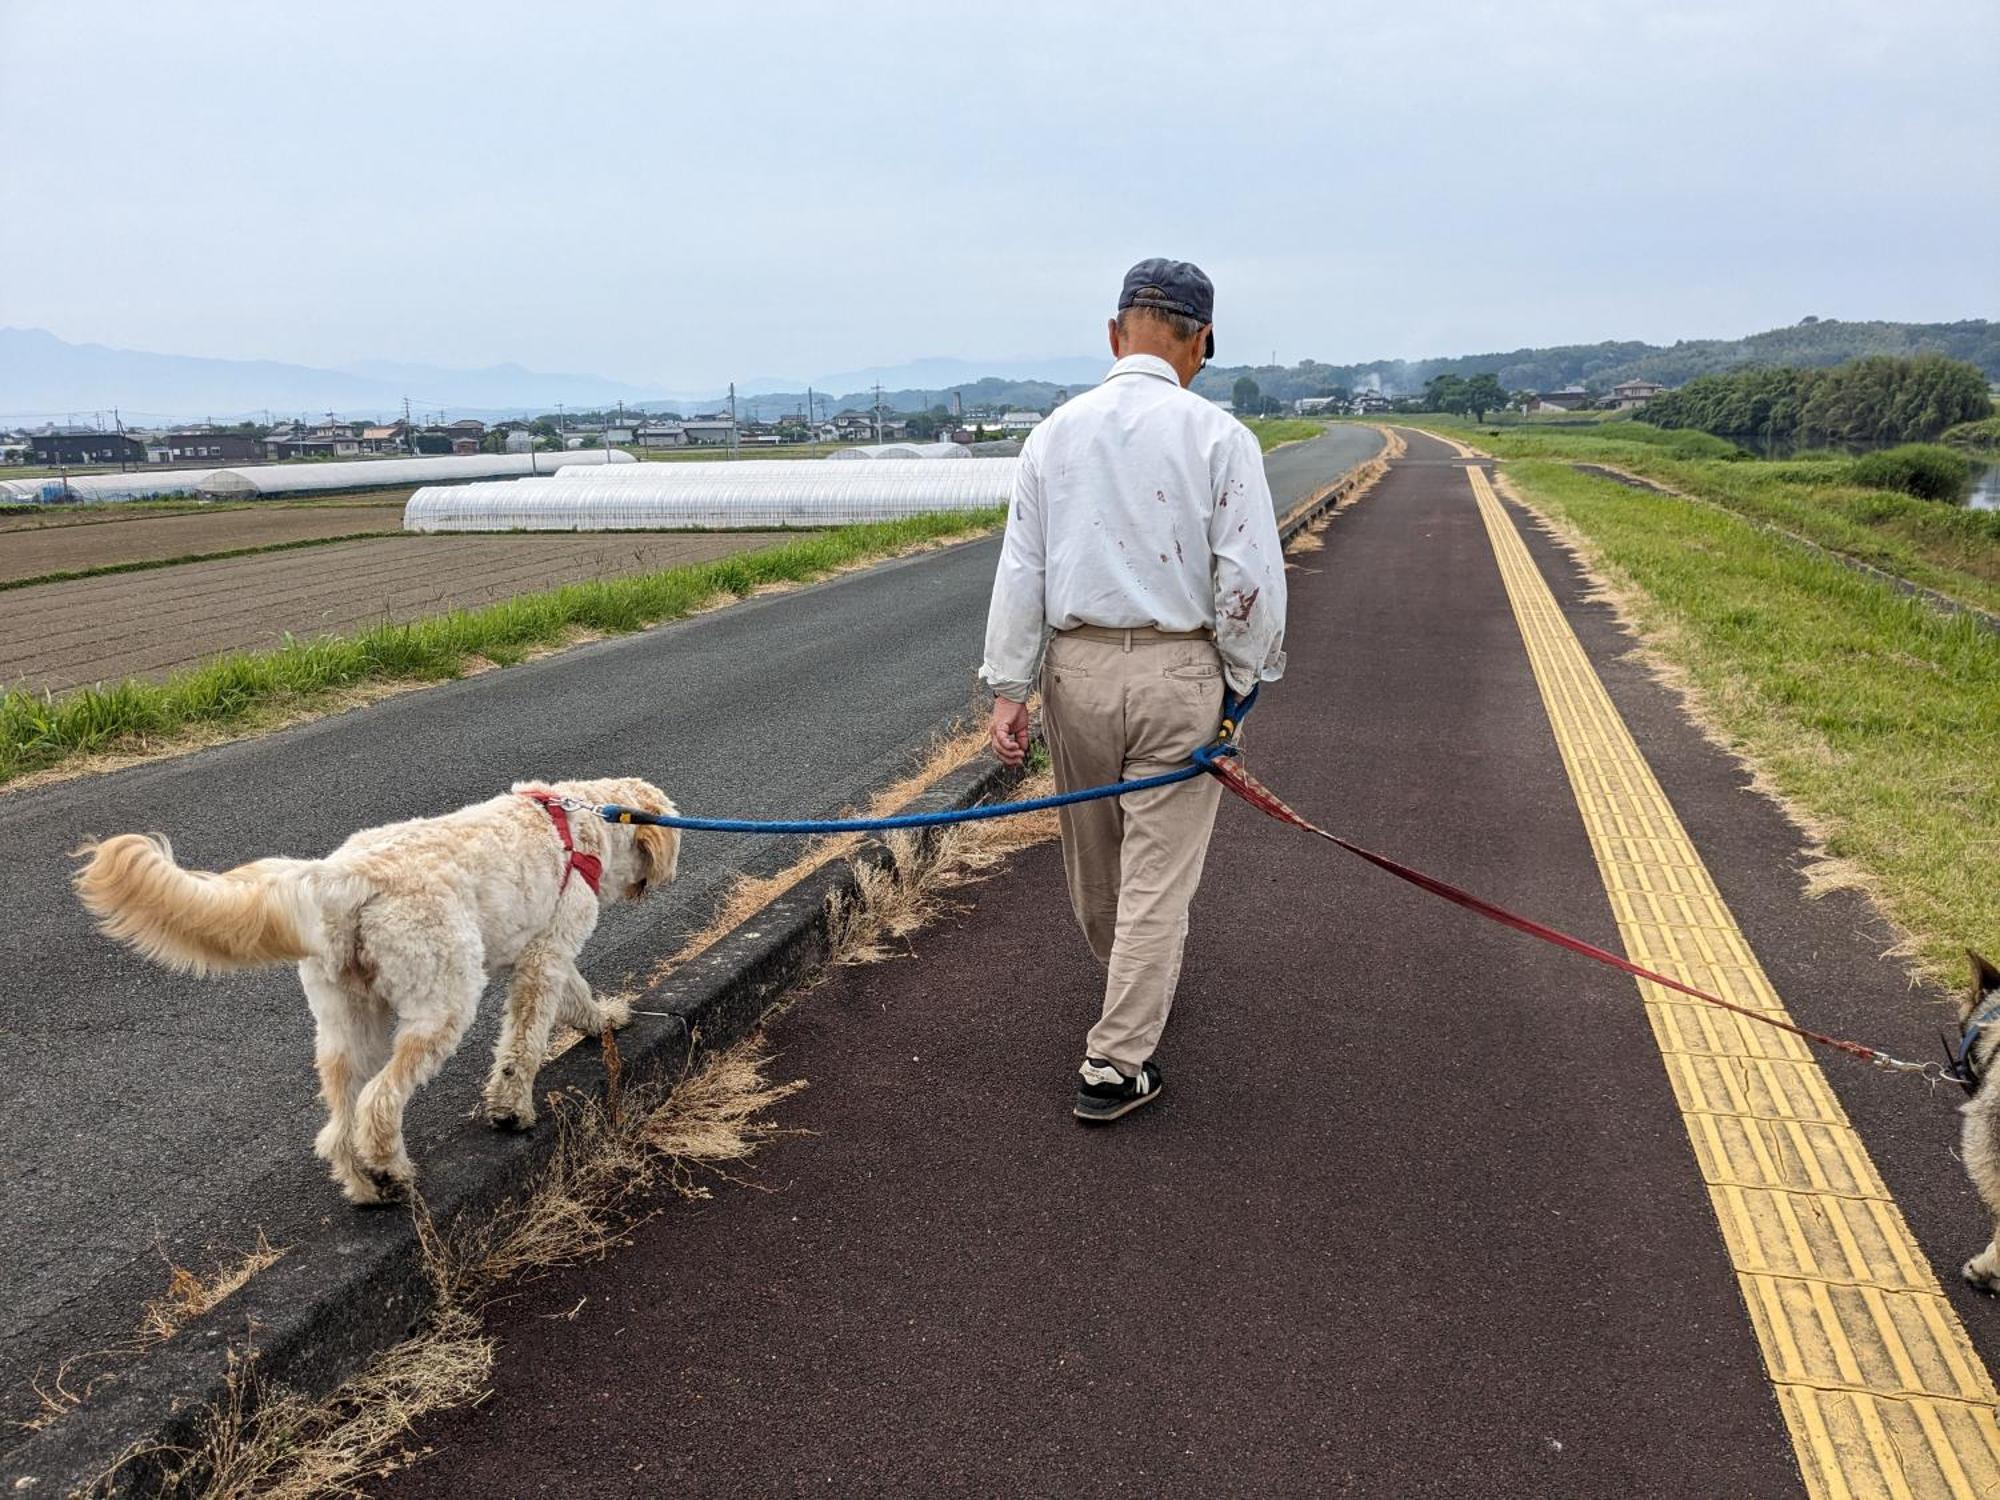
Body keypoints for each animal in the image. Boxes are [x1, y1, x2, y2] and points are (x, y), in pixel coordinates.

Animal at [72, 780, 680, 1208]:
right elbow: (523, 1043)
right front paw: (511, 1110)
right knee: (379, 1099)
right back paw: (390, 1166)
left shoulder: (542, 951)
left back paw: (365, 1184)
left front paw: (603, 1018)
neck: (587, 819)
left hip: (345, 1018)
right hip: (441, 1002)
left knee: (342, 1115)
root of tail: (345, 876)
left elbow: (576, 995)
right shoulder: (544, 956)